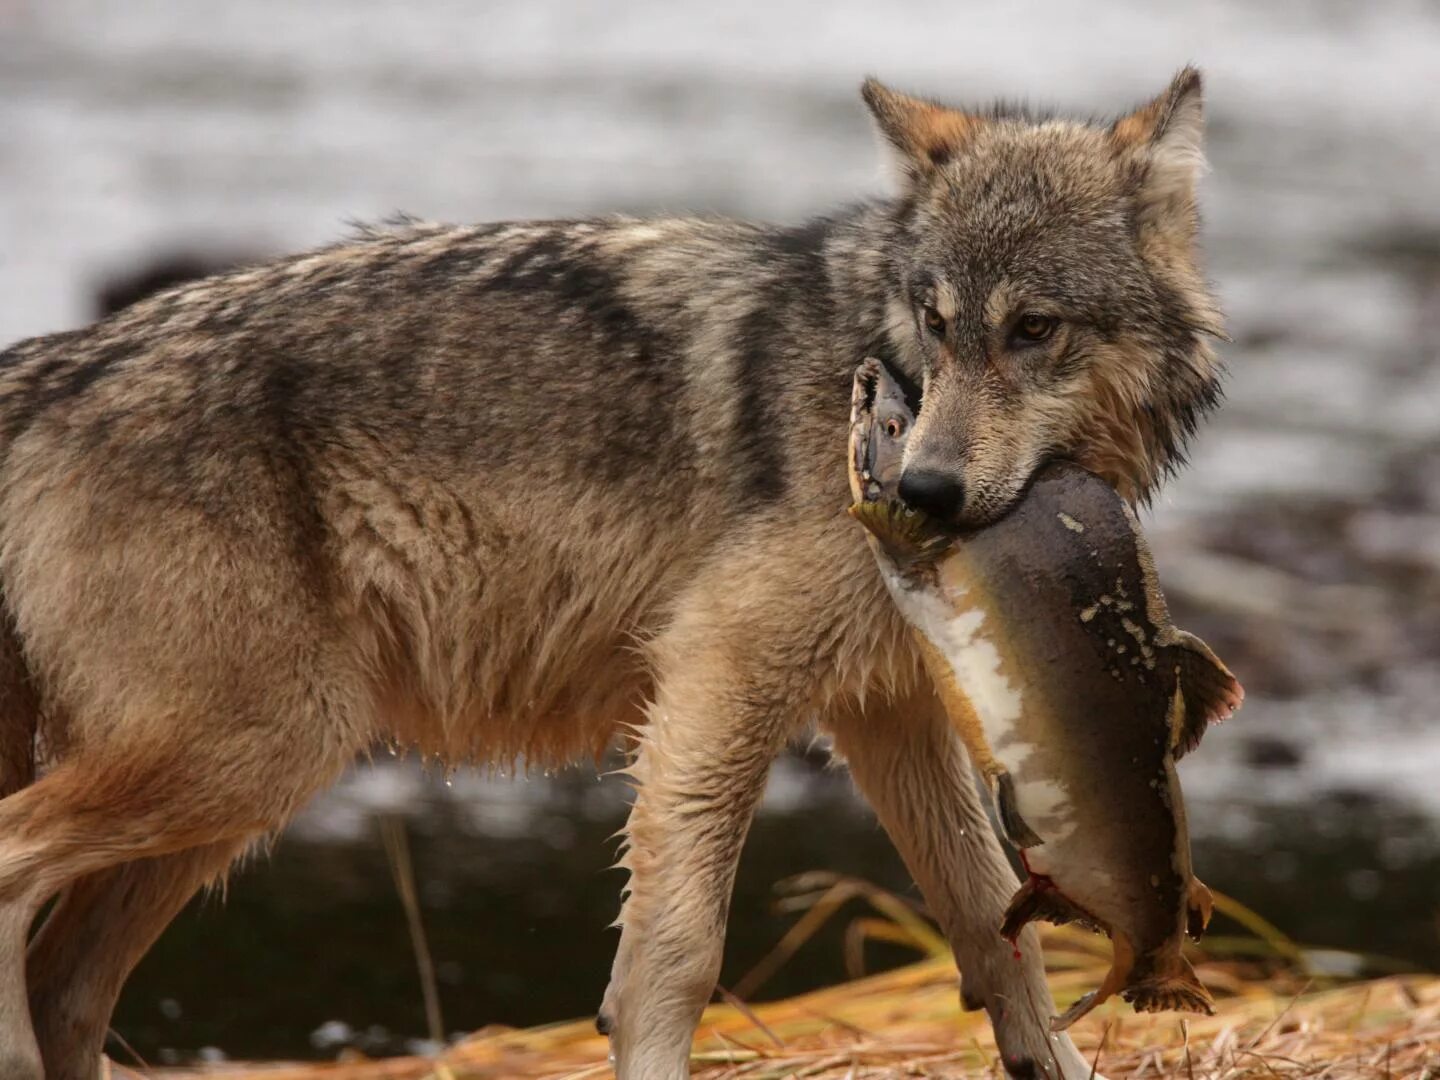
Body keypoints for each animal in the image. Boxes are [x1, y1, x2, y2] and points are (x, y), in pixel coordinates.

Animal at [0, 69, 1221, 1080]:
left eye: (1034, 329)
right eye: (937, 322)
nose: (920, 490)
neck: (863, 366)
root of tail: (55, 365)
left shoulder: (885, 713)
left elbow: (995, 931)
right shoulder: (718, 672)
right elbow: (677, 954)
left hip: (231, 797)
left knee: (68, 984)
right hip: (254, 757)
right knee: (15, 872)